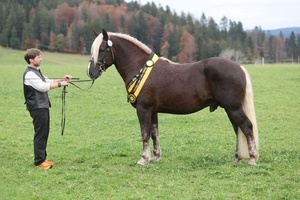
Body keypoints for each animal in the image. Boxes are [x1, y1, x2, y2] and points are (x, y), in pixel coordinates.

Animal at [86, 28, 258, 166]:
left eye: (103, 48)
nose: (91, 72)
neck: (140, 68)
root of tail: (239, 67)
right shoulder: (153, 111)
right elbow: (154, 133)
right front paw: (155, 157)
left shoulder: (143, 110)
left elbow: (144, 133)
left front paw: (143, 159)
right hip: (230, 110)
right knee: (238, 130)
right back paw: (237, 158)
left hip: (233, 108)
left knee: (247, 127)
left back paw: (252, 159)